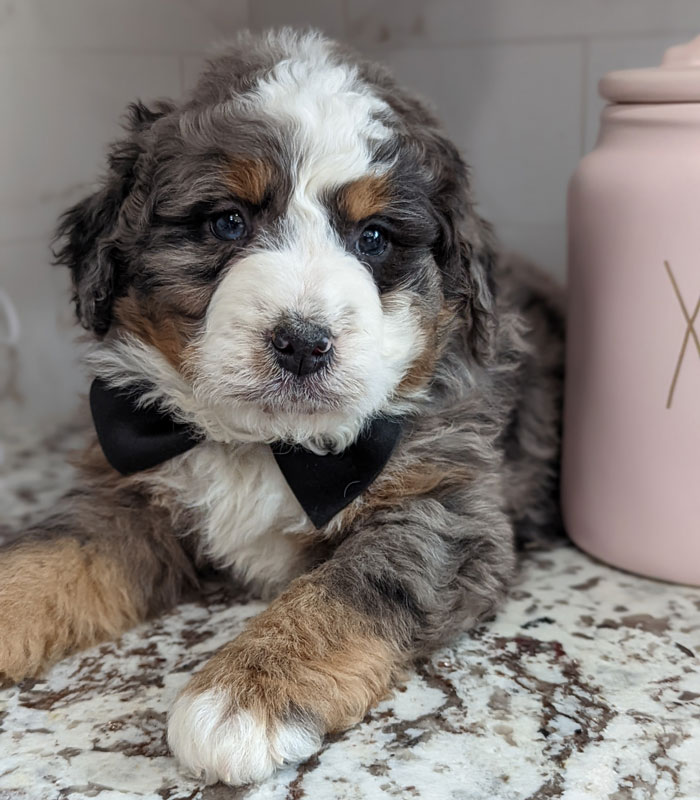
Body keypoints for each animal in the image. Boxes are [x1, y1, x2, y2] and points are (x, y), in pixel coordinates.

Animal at [0, 29, 564, 788]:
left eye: (374, 238)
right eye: (227, 222)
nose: (302, 342)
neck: (268, 445)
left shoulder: (445, 509)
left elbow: (350, 589)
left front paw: (245, 695)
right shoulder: (124, 490)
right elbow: (47, 555)